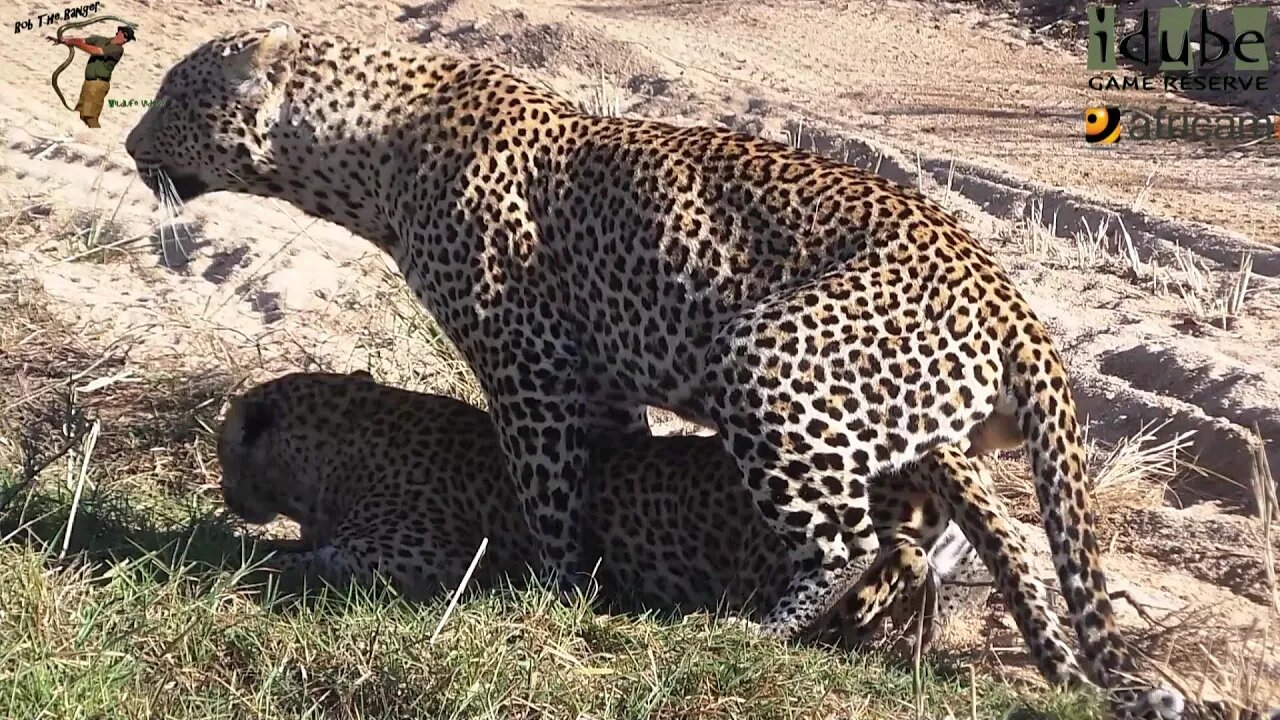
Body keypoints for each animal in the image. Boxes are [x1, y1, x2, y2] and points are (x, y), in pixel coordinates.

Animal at [220, 368, 993, 650]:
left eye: (226, 451)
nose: (227, 494)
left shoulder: (425, 559)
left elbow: (307, 561)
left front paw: (252, 562)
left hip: (780, 551)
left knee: (882, 560)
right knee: (916, 560)